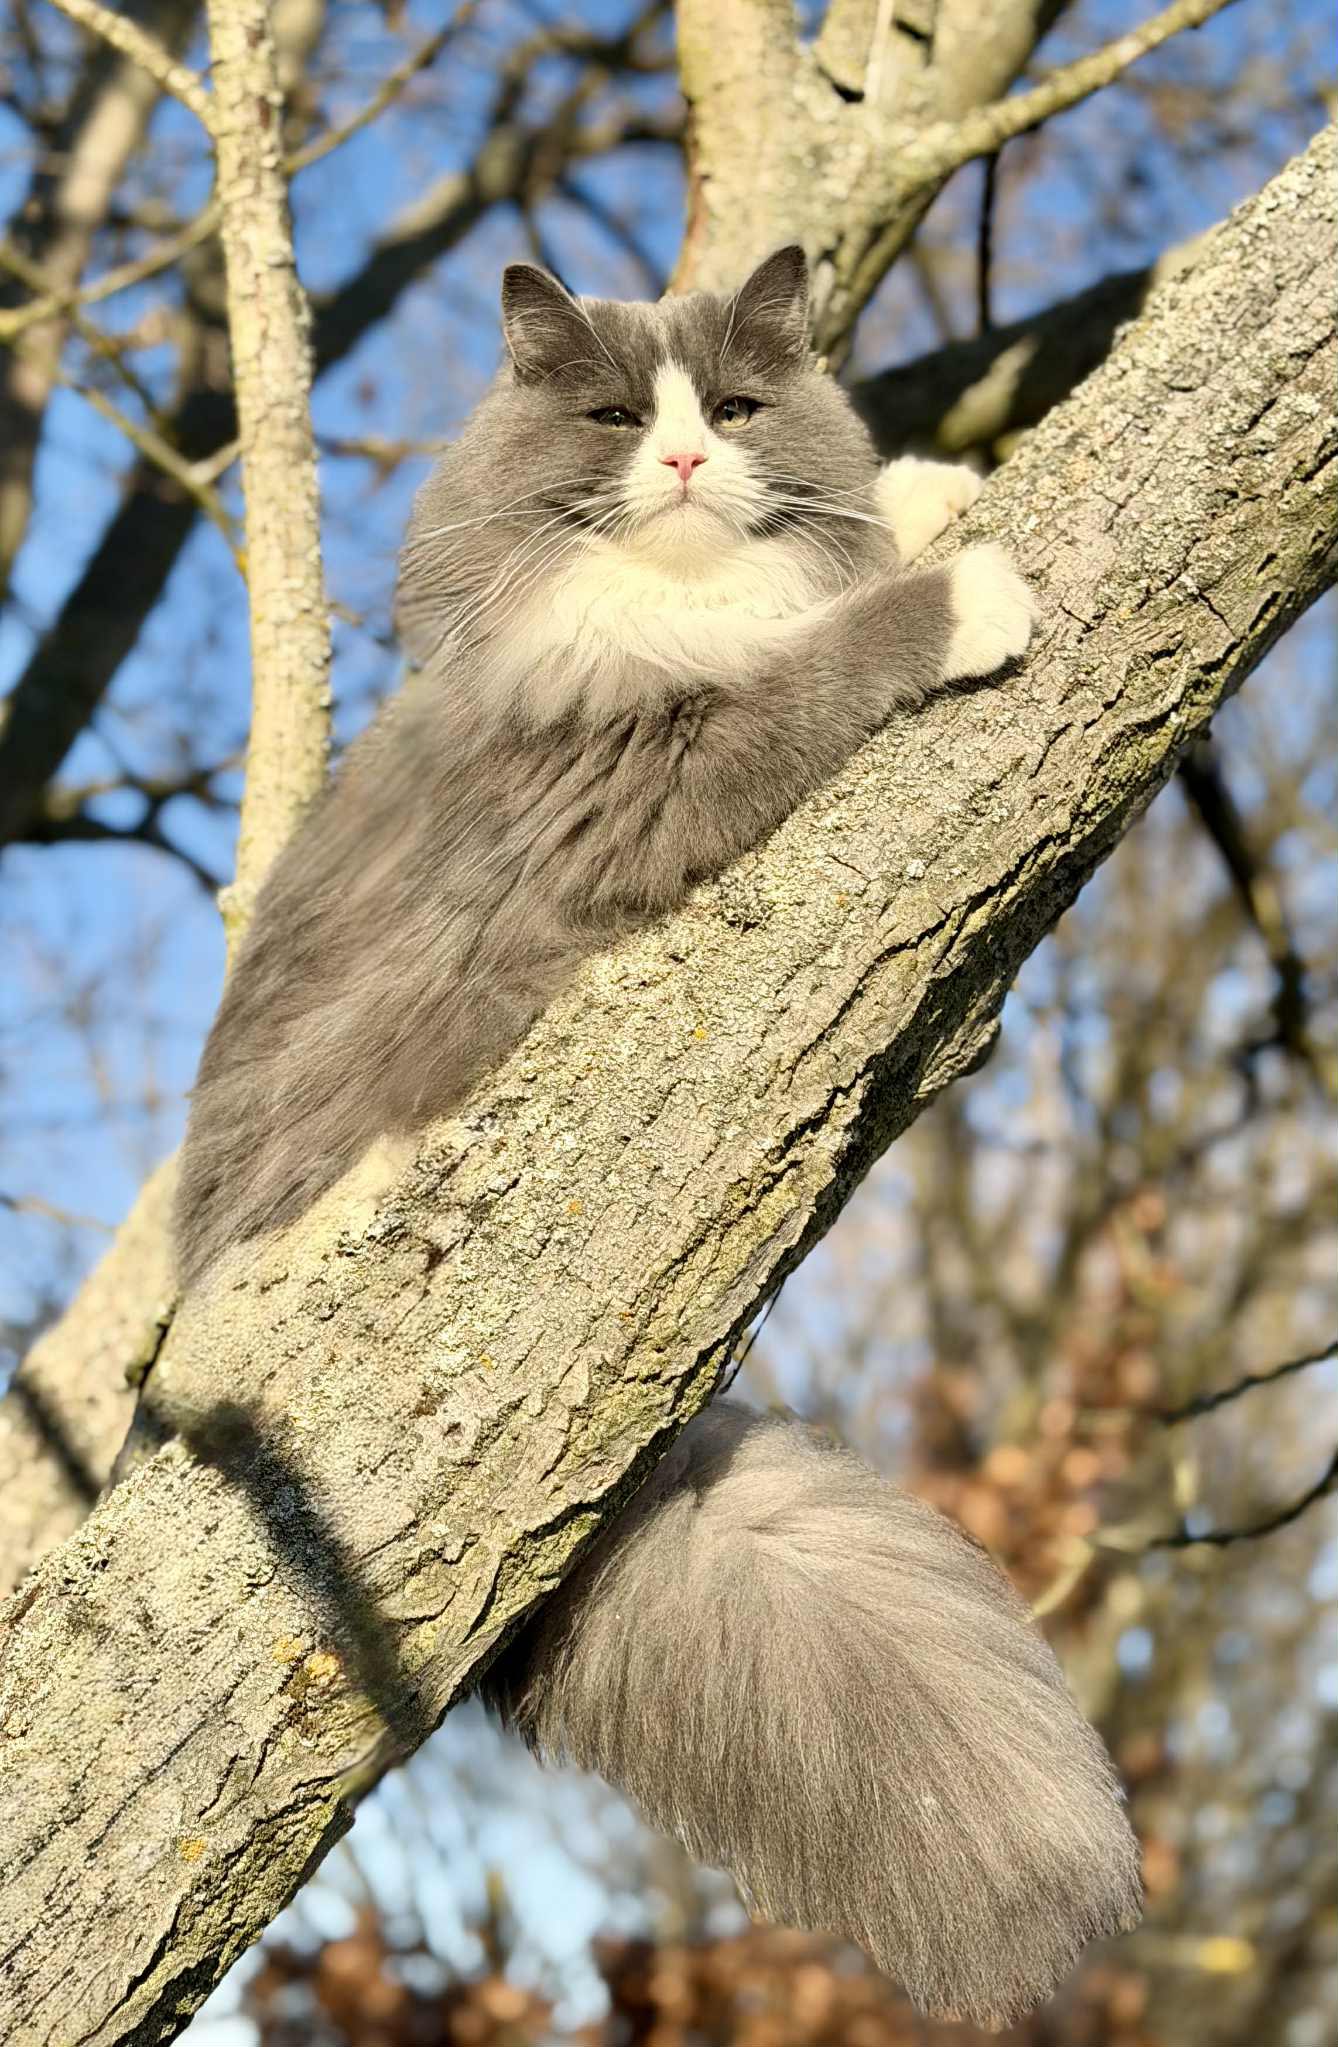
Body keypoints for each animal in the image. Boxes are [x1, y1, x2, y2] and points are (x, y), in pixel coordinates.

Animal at [171, 247, 1141, 2024]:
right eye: (619, 419)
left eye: (737, 410)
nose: (686, 461)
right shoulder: (650, 756)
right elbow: (821, 659)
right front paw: (959, 592)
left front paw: (918, 491)